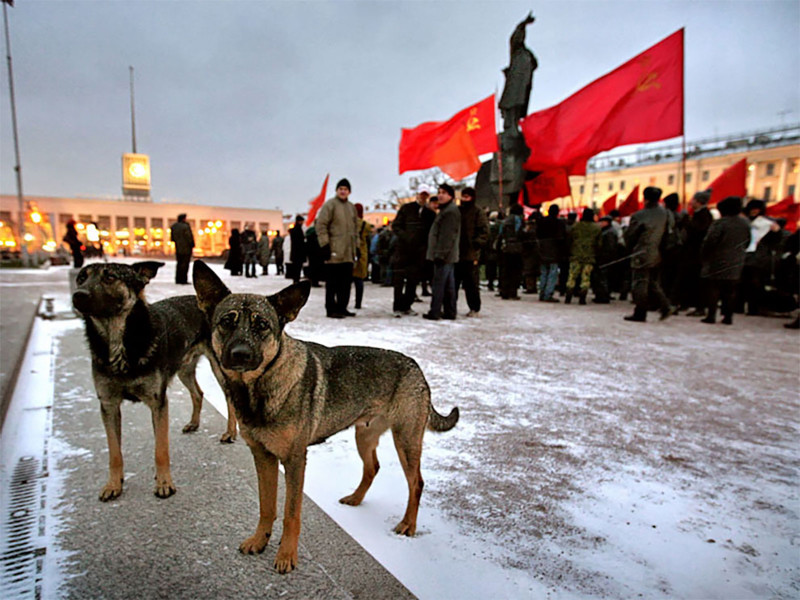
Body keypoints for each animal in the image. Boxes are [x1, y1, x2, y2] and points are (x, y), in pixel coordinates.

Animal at [72, 262, 238, 502]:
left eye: (110, 277)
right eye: (80, 278)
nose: (77, 295)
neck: (120, 341)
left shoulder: (158, 402)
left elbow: (161, 450)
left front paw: (164, 484)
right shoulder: (109, 405)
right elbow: (114, 452)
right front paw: (114, 484)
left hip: (220, 368)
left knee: (229, 397)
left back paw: (230, 433)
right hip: (184, 369)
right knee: (198, 393)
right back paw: (194, 423)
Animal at [191, 260, 460, 576]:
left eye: (262, 326)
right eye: (226, 322)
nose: (240, 354)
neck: (258, 387)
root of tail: (415, 366)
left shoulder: (295, 460)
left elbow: (290, 513)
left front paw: (286, 555)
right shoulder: (262, 456)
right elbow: (266, 506)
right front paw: (260, 540)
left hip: (405, 440)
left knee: (416, 483)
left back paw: (408, 524)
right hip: (364, 434)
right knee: (373, 467)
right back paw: (356, 498)